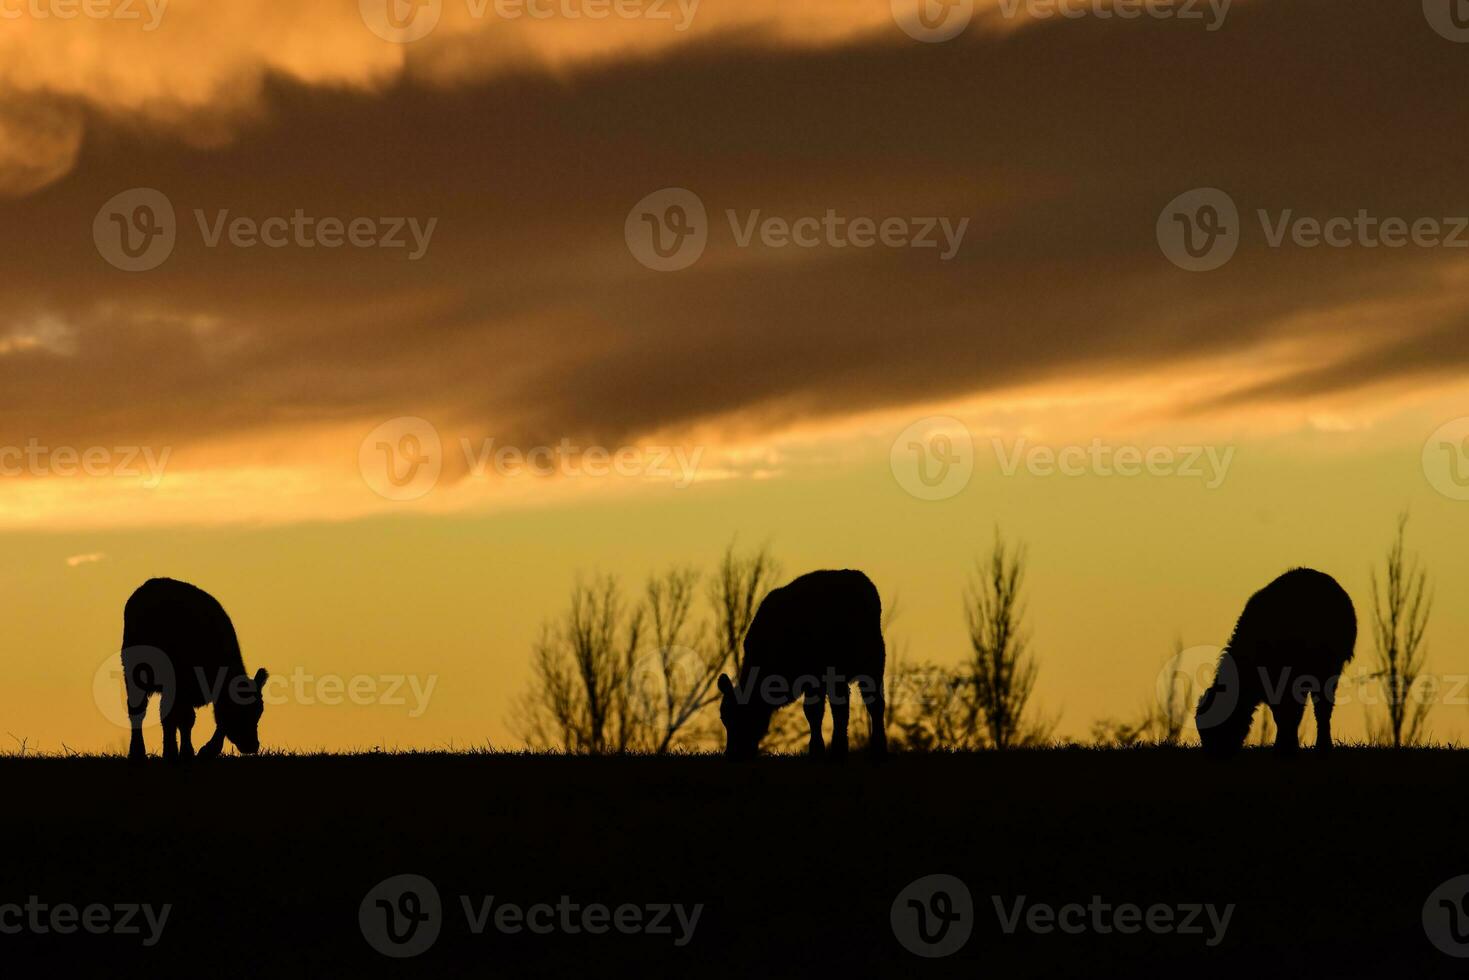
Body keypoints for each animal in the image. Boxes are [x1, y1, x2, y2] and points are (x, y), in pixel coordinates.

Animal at [120, 578, 270, 764]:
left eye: (259, 711)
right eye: (238, 711)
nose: (251, 745)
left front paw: (206, 750)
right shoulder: (179, 686)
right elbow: (184, 718)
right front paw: (185, 752)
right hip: (134, 672)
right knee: (137, 711)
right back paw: (138, 752)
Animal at [713, 570, 881, 764]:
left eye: (743, 716)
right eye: (724, 718)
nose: (733, 754)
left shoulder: (816, 676)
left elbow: (814, 711)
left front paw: (816, 750)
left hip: (873, 662)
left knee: (872, 704)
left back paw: (873, 749)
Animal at [1192, 567, 1351, 758]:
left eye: (1218, 727)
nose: (1213, 753)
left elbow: (1289, 714)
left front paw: (1286, 746)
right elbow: (1284, 715)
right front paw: (1285, 744)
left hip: (1328, 668)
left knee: (1322, 708)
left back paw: (1323, 745)